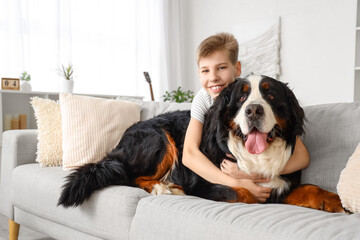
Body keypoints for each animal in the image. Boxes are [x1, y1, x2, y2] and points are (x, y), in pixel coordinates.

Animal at [57, 76, 344, 213]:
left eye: (271, 95)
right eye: (241, 98)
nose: (253, 110)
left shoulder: (283, 181)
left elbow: (309, 187)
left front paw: (334, 200)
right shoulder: (206, 183)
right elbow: (242, 192)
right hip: (159, 137)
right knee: (130, 177)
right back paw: (165, 187)